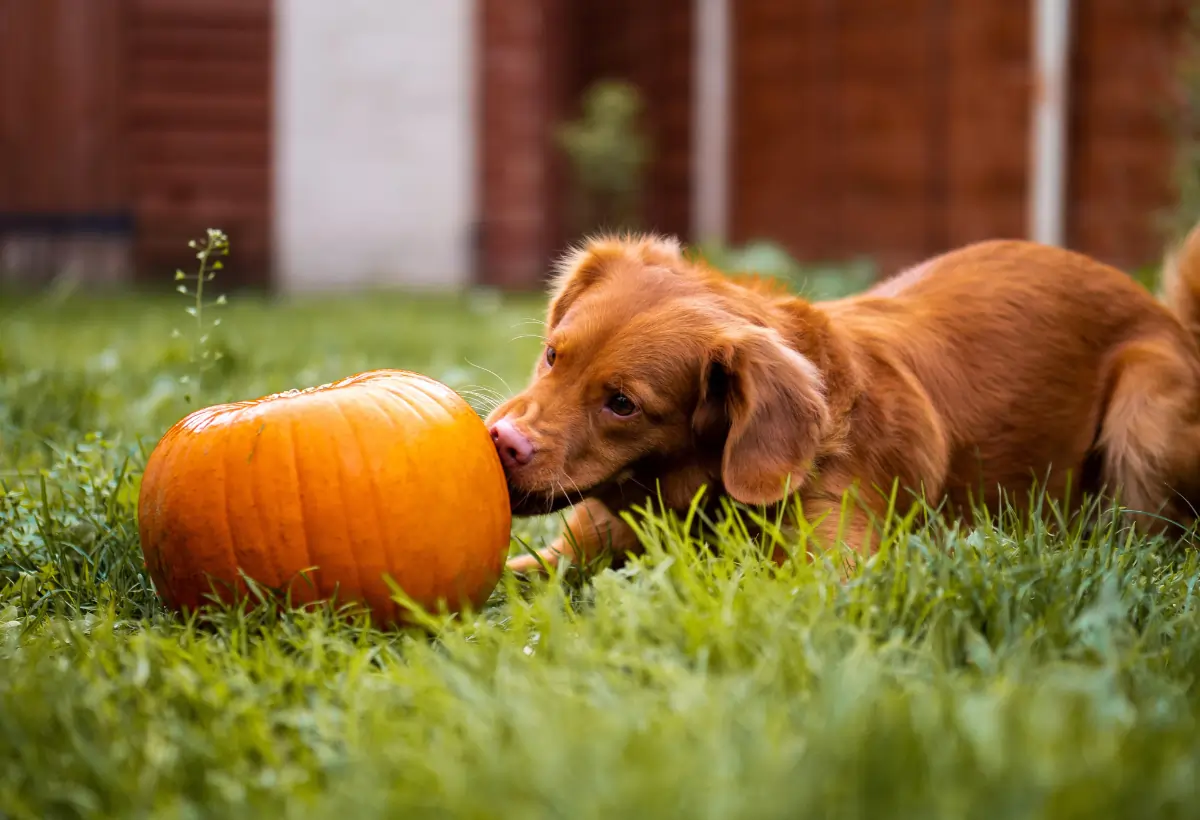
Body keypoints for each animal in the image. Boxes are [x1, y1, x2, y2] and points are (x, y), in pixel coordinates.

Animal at [482, 223, 1200, 571]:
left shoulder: (832, 573)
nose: (503, 443)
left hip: (1144, 415)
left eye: (622, 404)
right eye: (553, 355)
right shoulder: (567, 551)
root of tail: (1166, 316)